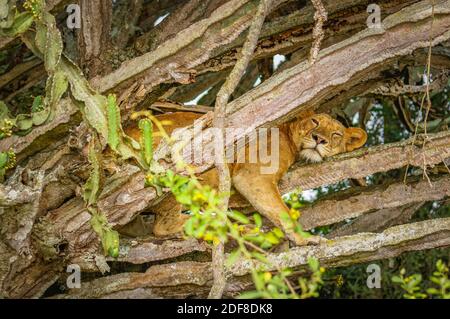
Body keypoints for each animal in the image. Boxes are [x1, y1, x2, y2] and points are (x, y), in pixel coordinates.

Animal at [125, 111, 368, 246]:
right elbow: (282, 211)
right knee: (163, 226)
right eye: (314, 122)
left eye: (336, 134)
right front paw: (304, 239)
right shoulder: (252, 176)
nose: (319, 139)